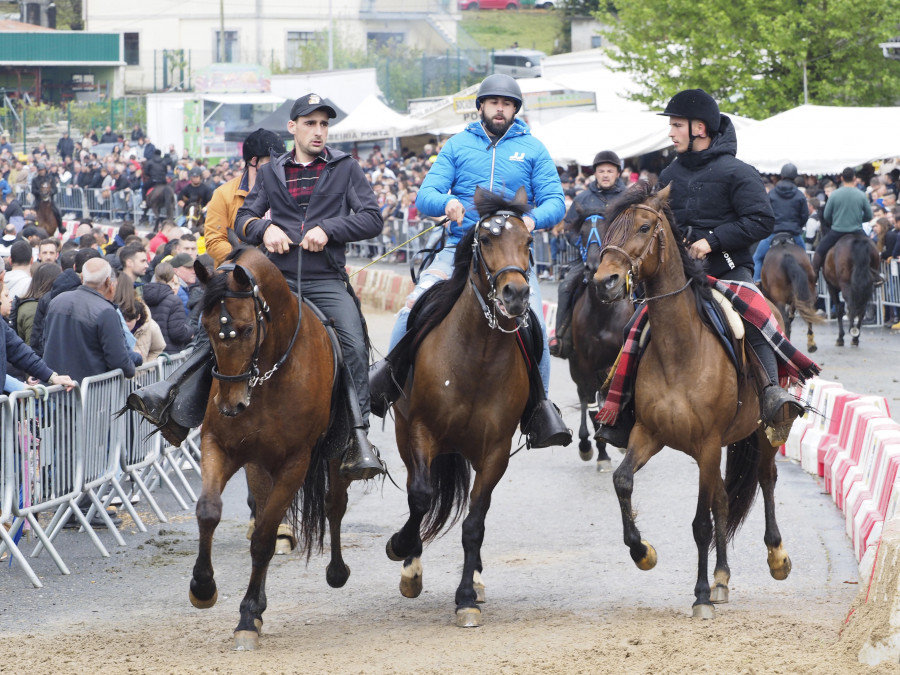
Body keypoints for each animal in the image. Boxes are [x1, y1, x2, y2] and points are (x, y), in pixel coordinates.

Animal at [190, 247, 352, 648]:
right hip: (258, 466)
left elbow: (263, 539)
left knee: (333, 505)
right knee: (263, 511)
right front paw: (203, 587)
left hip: (331, 456)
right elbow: (209, 511)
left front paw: (248, 616)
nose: (230, 405)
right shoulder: (220, 447)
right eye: (205, 327)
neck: (268, 378)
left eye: (247, 329)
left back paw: (337, 570)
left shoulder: (295, 463)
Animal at [384, 185, 536, 628]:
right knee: (419, 492)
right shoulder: (420, 431)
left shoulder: (494, 451)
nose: (515, 294)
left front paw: (467, 597)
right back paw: (410, 562)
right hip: (409, 437)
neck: (476, 355)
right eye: (484, 239)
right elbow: (420, 497)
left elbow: (475, 522)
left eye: (528, 241)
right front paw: (402, 549)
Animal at [596, 182, 796, 620]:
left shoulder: (706, 444)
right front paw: (642, 551)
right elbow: (623, 480)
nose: (606, 281)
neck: (679, 349)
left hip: (760, 432)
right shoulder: (649, 434)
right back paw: (721, 578)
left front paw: (700, 595)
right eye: (607, 229)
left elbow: (701, 524)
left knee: (766, 479)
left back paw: (775, 556)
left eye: (644, 227)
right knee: (722, 498)